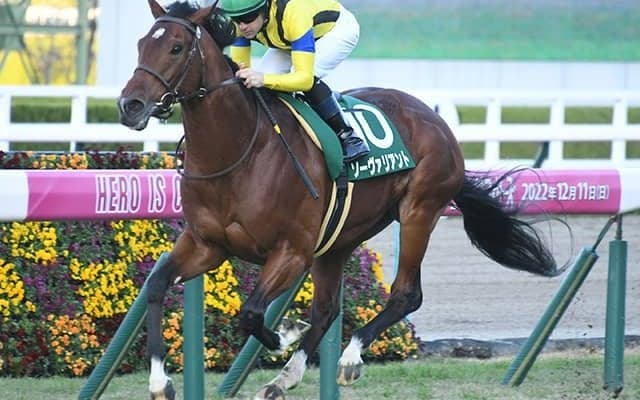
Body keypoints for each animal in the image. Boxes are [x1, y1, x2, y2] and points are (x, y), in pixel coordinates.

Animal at [118, 1, 564, 398]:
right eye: (140, 44)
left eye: (176, 47)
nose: (130, 105)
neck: (239, 151)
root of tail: (434, 118)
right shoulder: (207, 244)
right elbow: (156, 285)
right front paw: (160, 382)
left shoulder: (291, 251)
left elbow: (252, 313)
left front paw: (284, 333)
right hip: (339, 238)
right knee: (328, 308)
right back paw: (283, 379)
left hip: (419, 211)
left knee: (406, 293)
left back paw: (348, 358)